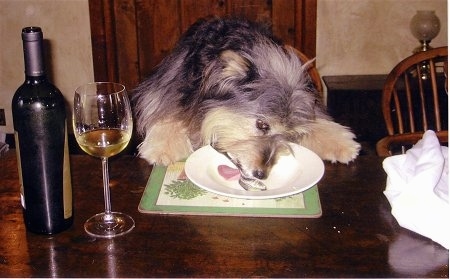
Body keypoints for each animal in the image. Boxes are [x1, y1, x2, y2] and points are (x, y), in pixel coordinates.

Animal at [132, 16, 360, 185]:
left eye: (290, 134)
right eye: (262, 124)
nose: (261, 175)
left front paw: (339, 142)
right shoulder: (170, 83)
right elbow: (166, 110)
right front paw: (164, 146)